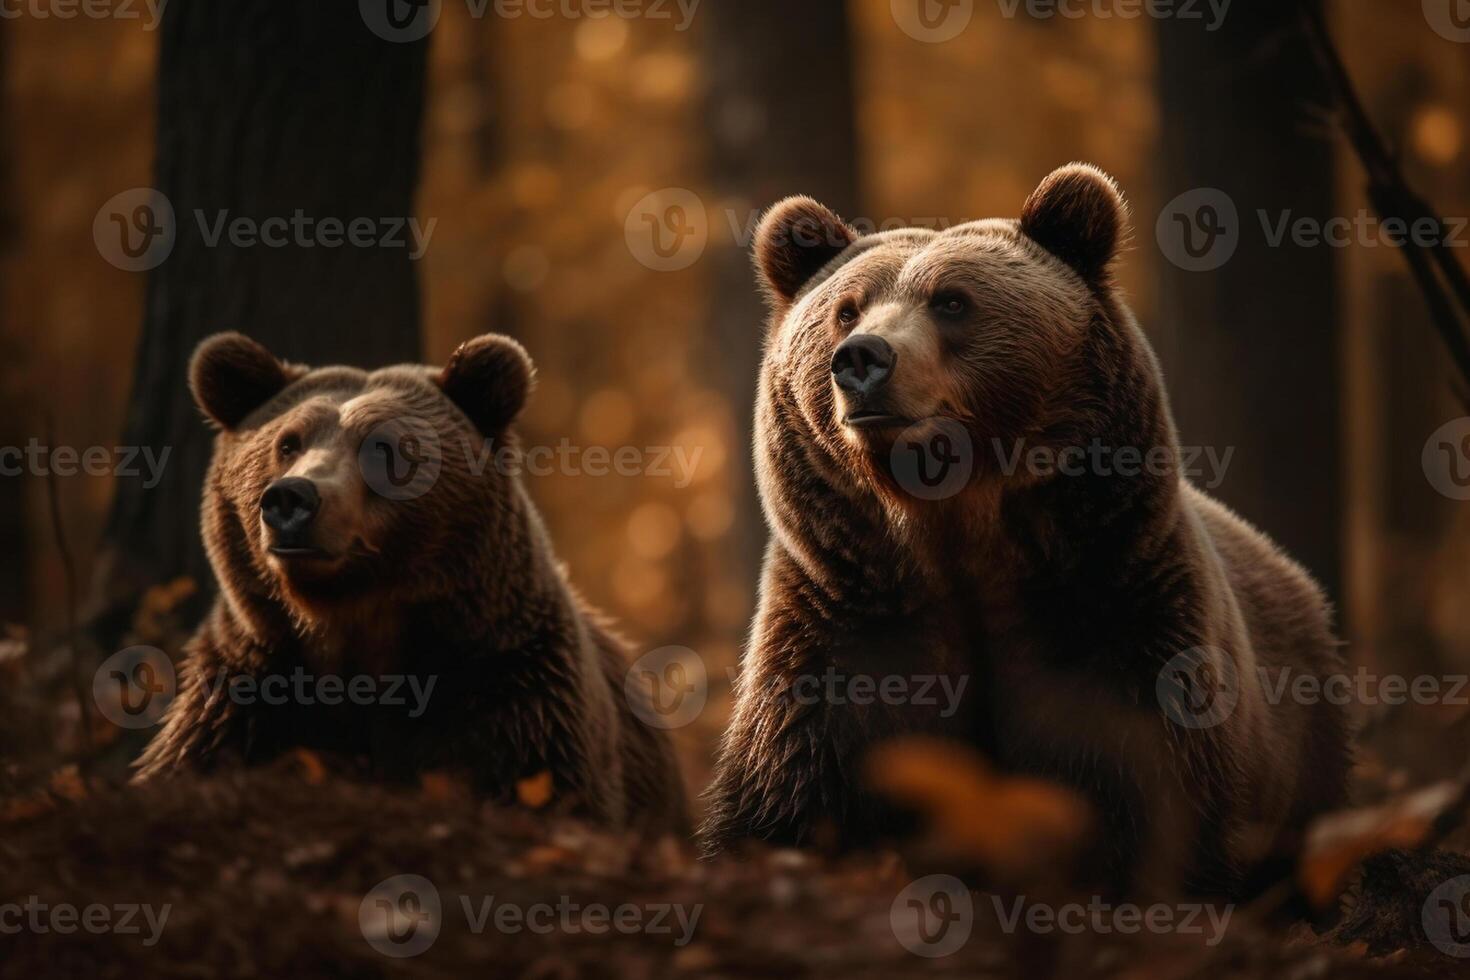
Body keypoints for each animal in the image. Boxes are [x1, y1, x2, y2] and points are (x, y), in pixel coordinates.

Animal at [699, 164, 1352, 893]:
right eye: (846, 307)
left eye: (952, 301)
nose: (861, 358)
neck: (958, 530)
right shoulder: (848, 623)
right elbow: (789, 784)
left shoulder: (1115, 610)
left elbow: (1156, 786)